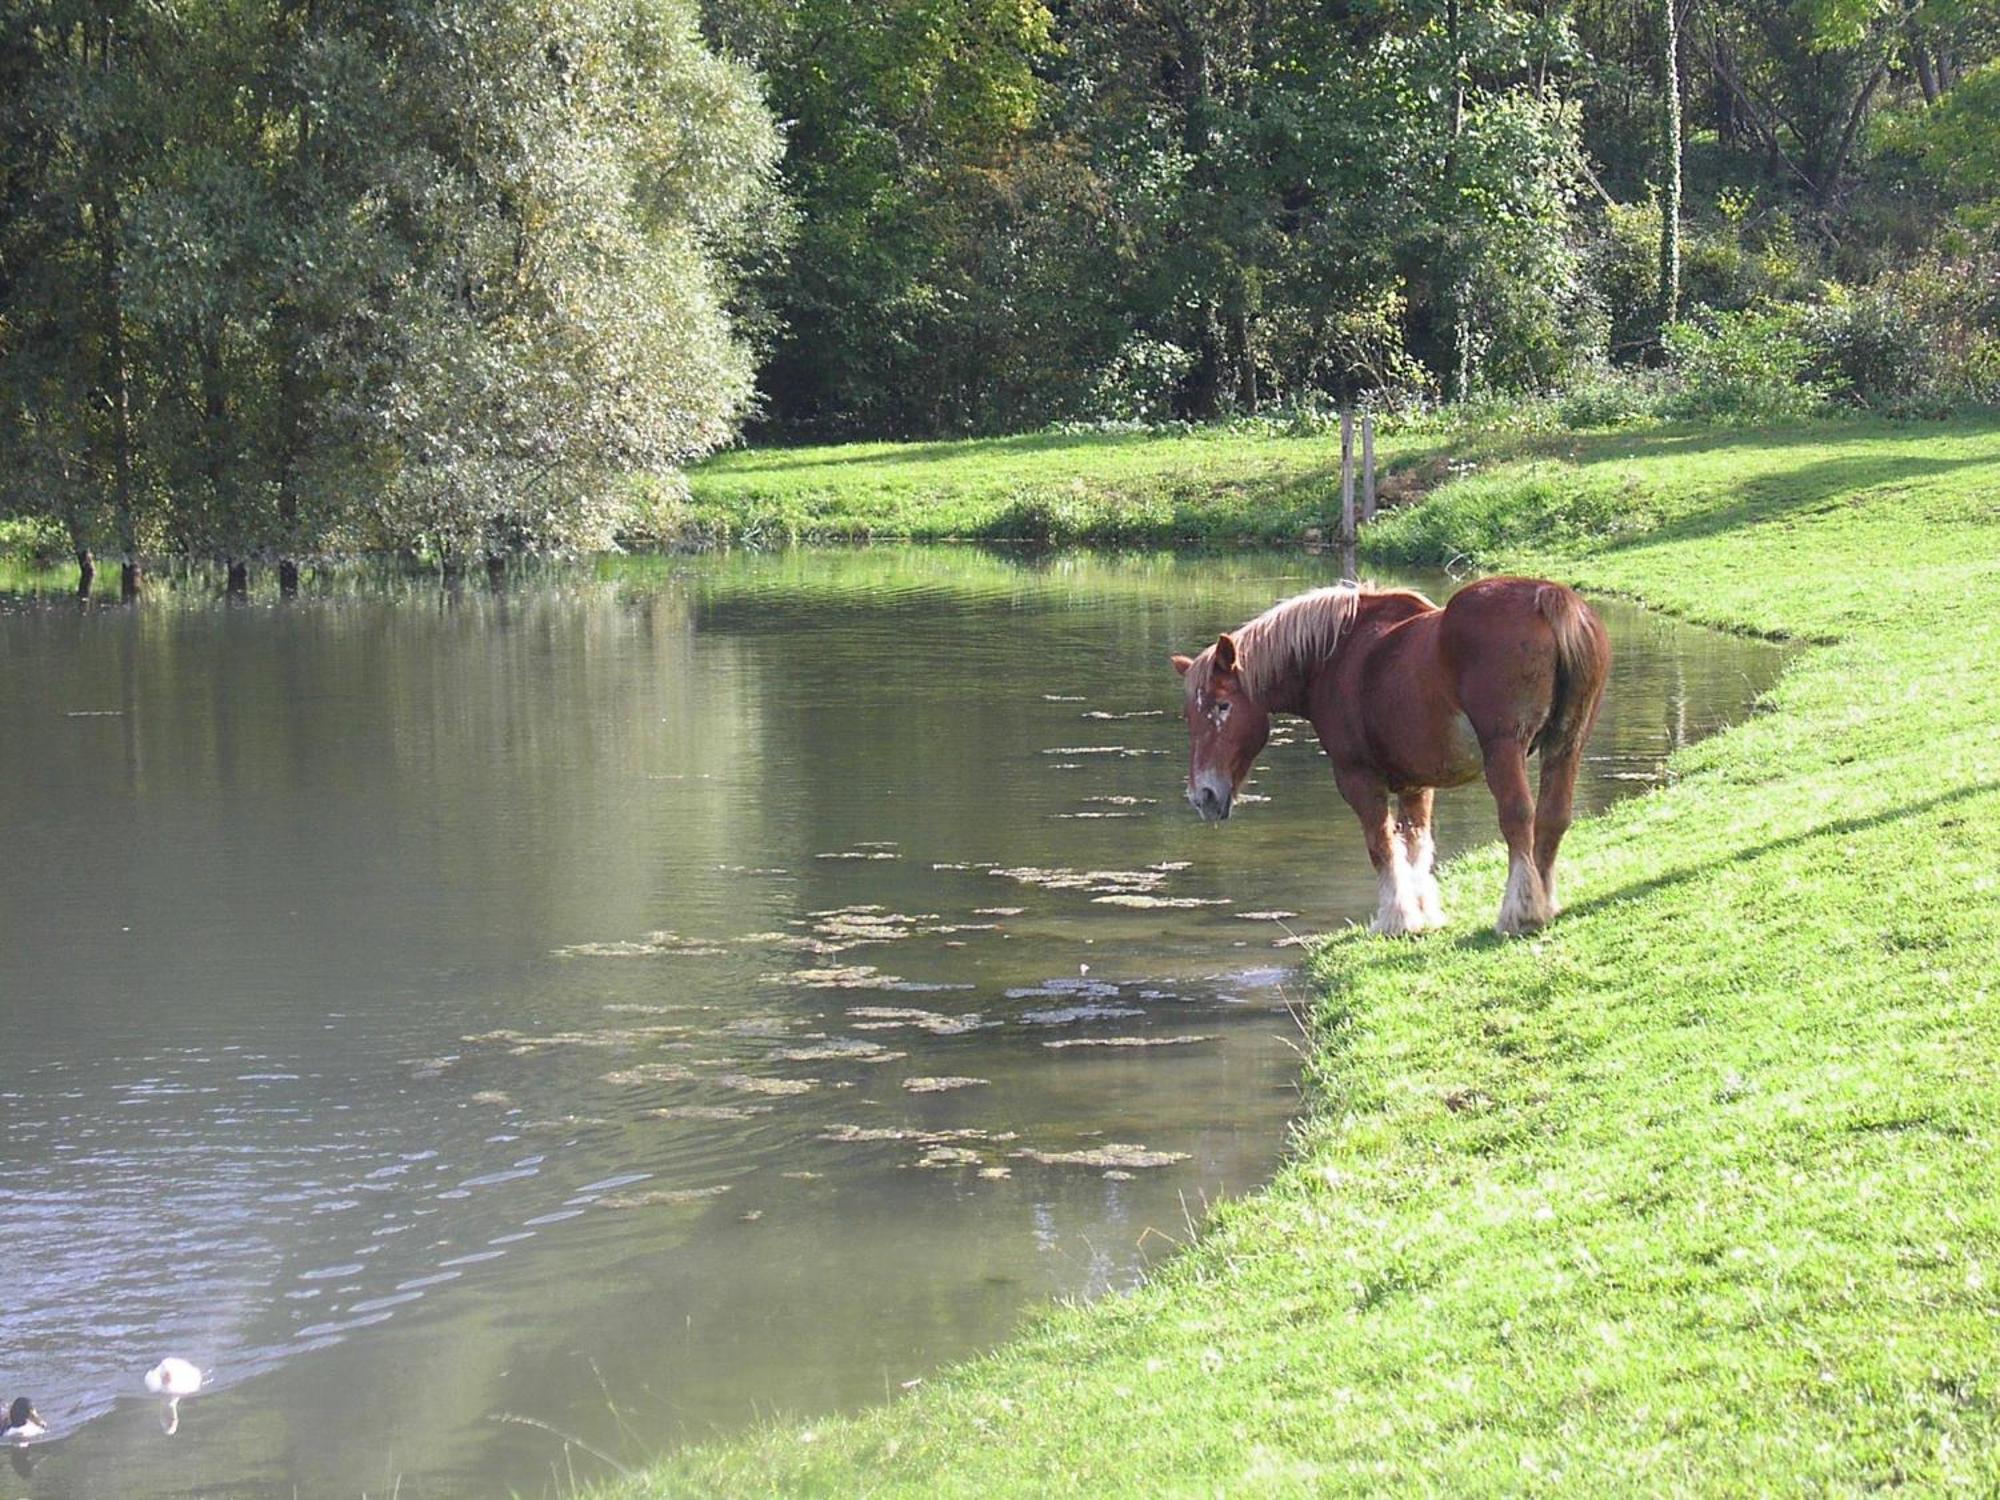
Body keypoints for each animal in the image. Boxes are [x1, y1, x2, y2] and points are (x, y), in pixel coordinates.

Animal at [1168, 580, 1608, 940]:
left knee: (1518, 818)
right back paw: (1546, 903)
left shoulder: (1358, 778)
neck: (1334, 656)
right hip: (1566, 746)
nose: (1203, 795)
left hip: (1504, 751)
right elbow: (1415, 844)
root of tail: (1547, 597)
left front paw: (1396, 918)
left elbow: (1381, 845)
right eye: (1190, 714)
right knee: (1553, 817)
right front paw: (1424, 913)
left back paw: (1520, 914)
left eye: (1222, 706)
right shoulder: (1417, 784)